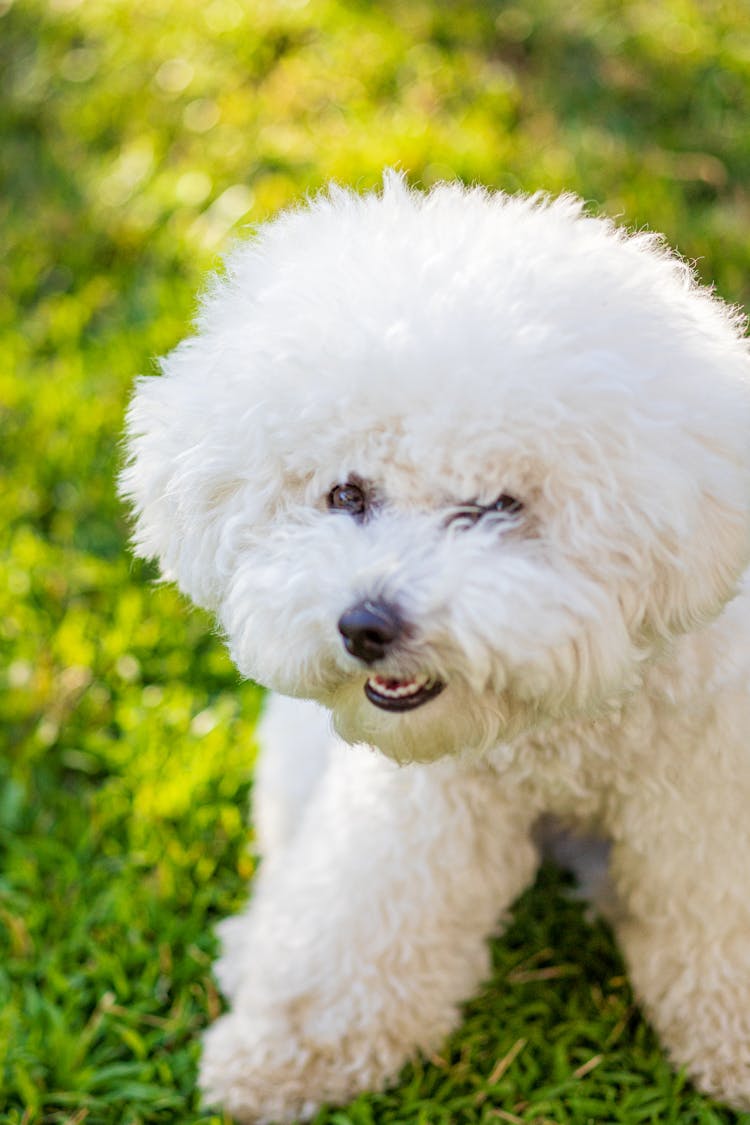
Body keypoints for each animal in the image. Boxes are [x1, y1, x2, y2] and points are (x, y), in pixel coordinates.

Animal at [120, 171, 750, 1120]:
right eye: (346, 493)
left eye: (497, 507)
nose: (364, 625)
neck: (559, 727)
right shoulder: (423, 806)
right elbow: (357, 931)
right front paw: (280, 1053)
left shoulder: (706, 781)